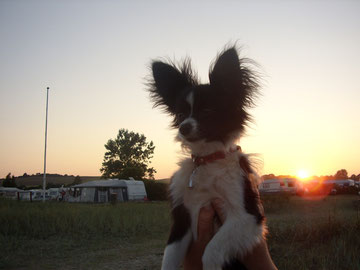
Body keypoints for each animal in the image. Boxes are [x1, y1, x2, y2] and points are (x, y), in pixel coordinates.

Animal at [148, 47, 266, 270]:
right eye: (180, 114)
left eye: (208, 111)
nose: (183, 127)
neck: (206, 160)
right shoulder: (181, 217)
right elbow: (169, 256)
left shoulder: (247, 216)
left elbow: (211, 251)